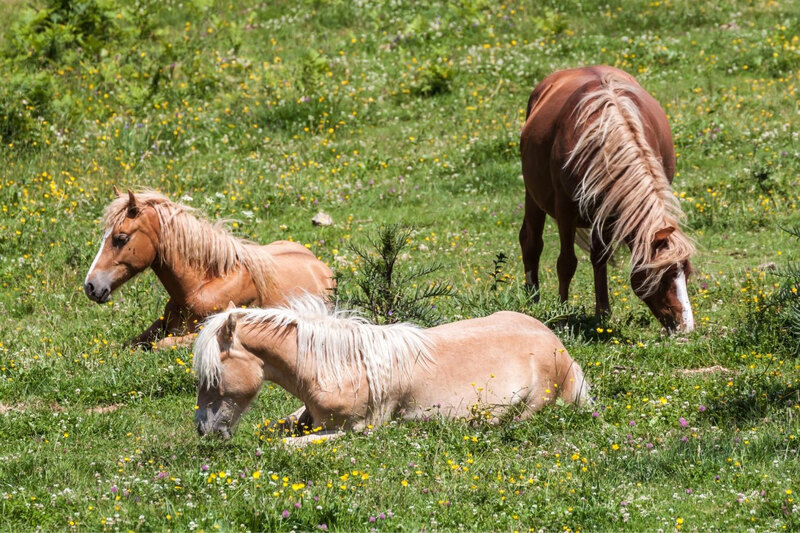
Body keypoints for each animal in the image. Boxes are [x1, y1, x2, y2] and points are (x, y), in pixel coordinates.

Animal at [193, 296, 589, 444]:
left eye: (213, 377)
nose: (203, 430)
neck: (340, 368)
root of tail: (560, 348)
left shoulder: (352, 431)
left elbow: (284, 444)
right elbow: (278, 427)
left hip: (531, 408)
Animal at [519, 66, 696, 332]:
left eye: (687, 272)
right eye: (663, 277)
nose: (686, 327)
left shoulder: (612, 212)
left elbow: (600, 258)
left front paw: (602, 313)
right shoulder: (565, 211)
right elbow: (566, 263)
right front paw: (562, 317)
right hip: (533, 196)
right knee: (531, 243)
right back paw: (533, 299)